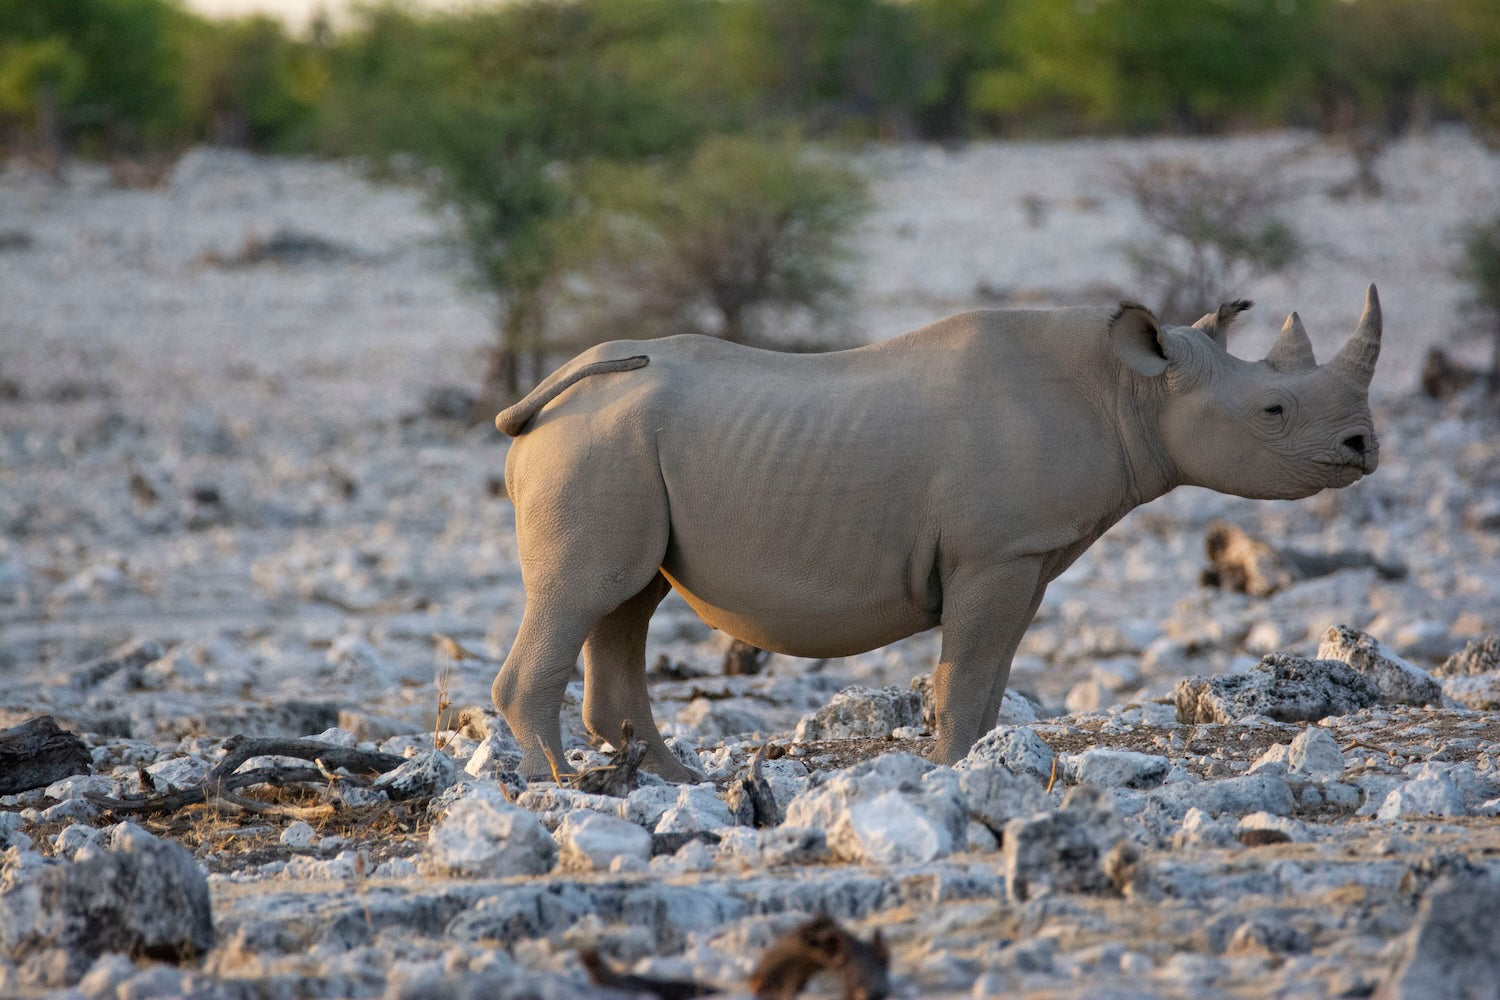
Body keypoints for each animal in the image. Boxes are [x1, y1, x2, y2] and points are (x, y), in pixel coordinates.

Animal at [492, 285, 1383, 782]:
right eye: (1273, 410)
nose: (1363, 448)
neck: (1135, 390)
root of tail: (549, 398)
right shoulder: (996, 552)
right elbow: (968, 672)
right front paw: (952, 772)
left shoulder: (1028, 554)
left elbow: (994, 675)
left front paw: (987, 762)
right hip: (594, 447)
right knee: (585, 594)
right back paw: (558, 782)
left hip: (615, 447)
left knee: (627, 602)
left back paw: (673, 782)